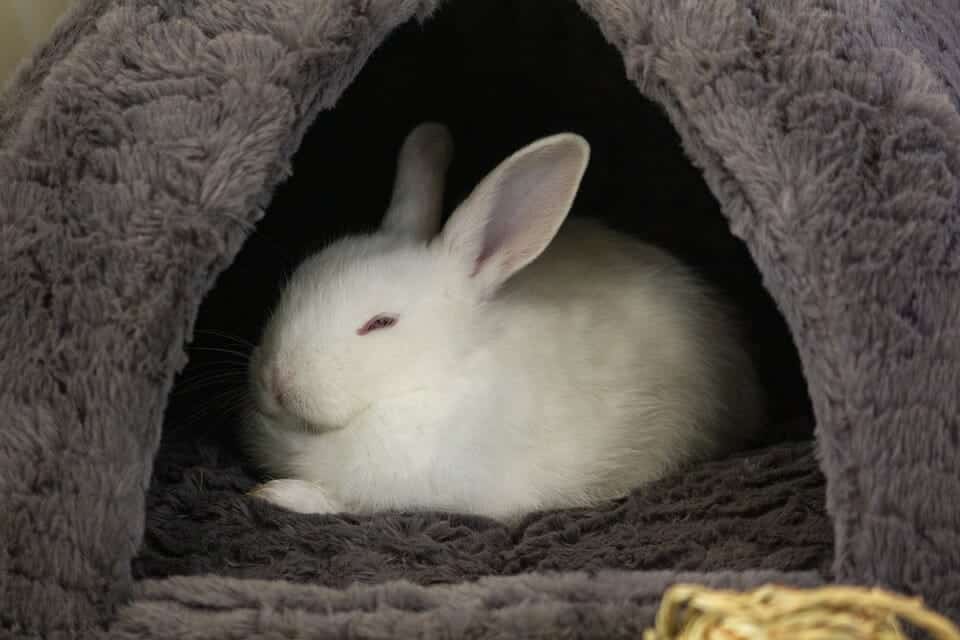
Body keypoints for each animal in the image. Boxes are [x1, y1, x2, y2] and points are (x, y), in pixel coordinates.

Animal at [243, 122, 765, 522]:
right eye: (296, 283)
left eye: (381, 322)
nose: (276, 380)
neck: (432, 382)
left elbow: (351, 502)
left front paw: (280, 495)